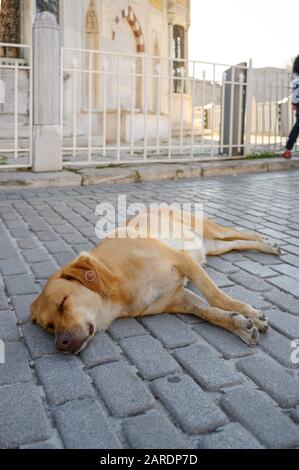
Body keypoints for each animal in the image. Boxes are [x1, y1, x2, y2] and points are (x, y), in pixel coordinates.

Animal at [30, 209, 282, 352]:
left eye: (63, 303)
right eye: (49, 327)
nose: (60, 345)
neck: (118, 287)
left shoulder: (182, 261)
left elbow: (216, 295)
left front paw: (248, 312)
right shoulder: (179, 299)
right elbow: (209, 313)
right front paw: (237, 324)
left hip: (211, 231)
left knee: (241, 232)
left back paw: (266, 241)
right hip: (214, 247)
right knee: (237, 243)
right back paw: (264, 245)